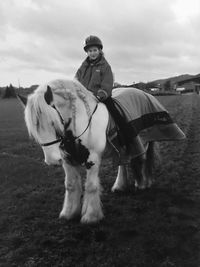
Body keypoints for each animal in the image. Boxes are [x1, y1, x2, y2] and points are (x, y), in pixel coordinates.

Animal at [18, 79, 185, 224]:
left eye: (53, 122)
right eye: (34, 130)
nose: (52, 161)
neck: (81, 124)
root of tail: (144, 93)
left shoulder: (93, 158)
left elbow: (91, 186)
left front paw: (91, 216)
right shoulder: (67, 160)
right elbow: (70, 185)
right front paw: (69, 213)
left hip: (144, 142)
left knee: (141, 159)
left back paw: (143, 183)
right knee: (123, 162)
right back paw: (120, 186)